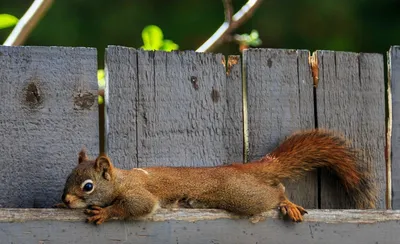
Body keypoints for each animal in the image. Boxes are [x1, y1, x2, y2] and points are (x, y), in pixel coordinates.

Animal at [57, 130, 378, 225]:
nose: (66, 200)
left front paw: (105, 212)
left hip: (243, 195)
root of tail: (239, 168)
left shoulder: (139, 191)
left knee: (275, 191)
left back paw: (286, 203)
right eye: (67, 179)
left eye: (88, 186)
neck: (120, 180)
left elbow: (137, 206)